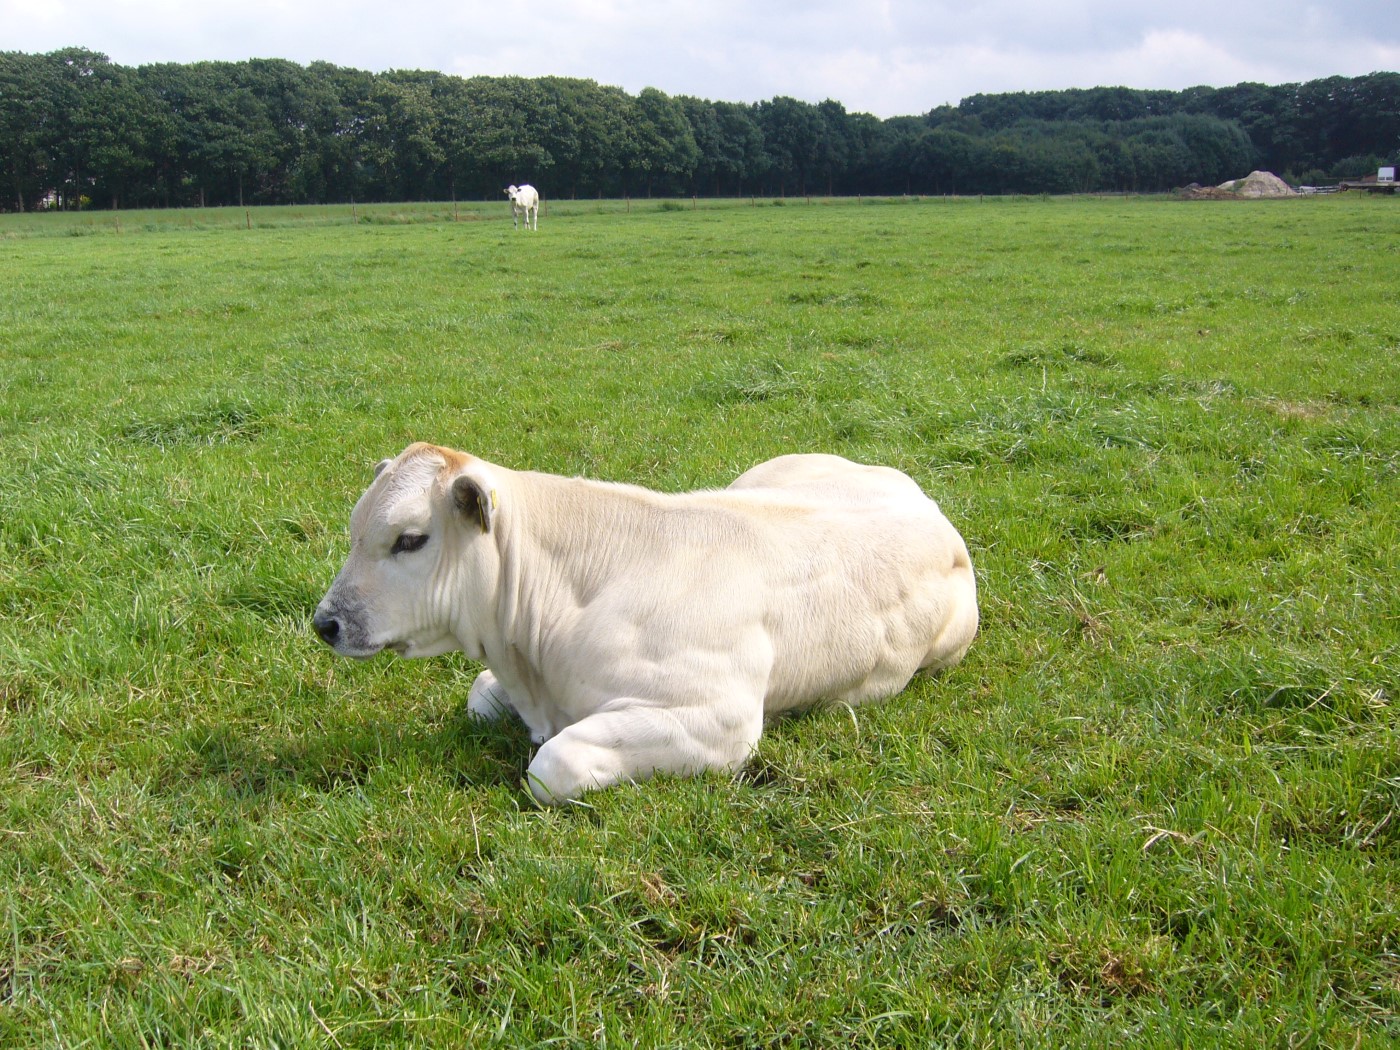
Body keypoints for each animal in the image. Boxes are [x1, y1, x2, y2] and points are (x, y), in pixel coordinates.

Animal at [313, 445, 980, 806]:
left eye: (410, 539)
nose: (325, 622)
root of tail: (931, 508)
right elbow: (479, 696)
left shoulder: (720, 718)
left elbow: (552, 766)